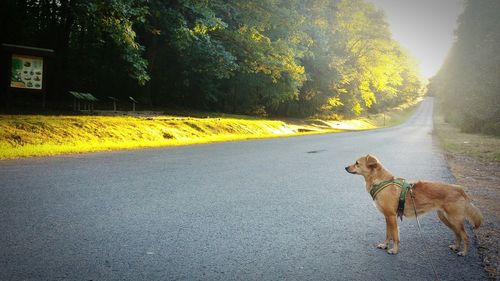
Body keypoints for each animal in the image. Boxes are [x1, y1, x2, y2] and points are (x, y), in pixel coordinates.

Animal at [346, 154, 482, 255]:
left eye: (357, 163)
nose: (345, 167)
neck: (381, 181)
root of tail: (459, 189)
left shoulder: (391, 217)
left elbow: (395, 236)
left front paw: (394, 250)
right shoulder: (387, 217)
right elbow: (388, 234)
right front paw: (385, 245)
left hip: (454, 219)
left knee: (465, 236)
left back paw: (463, 252)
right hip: (446, 218)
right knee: (457, 234)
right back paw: (456, 247)